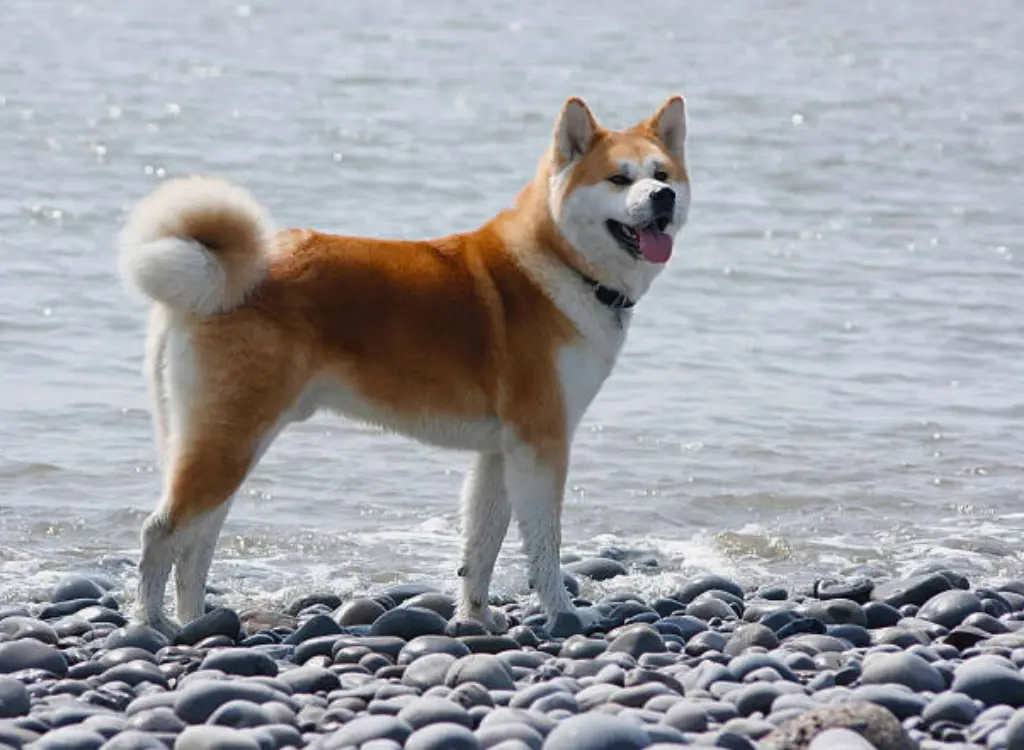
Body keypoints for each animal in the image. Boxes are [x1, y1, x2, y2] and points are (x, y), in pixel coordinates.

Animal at [117, 90, 696, 635]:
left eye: (661, 175)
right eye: (619, 179)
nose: (662, 197)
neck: (561, 265)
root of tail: (214, 277)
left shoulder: (499, 452)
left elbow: (481, 547)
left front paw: (476, 617)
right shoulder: (540, 444)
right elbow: (544, 546)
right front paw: (562, 613)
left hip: (225, 443)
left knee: (196, 547)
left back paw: (197, 622)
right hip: (230, 442)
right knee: (160, 533)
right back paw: (154, 623)